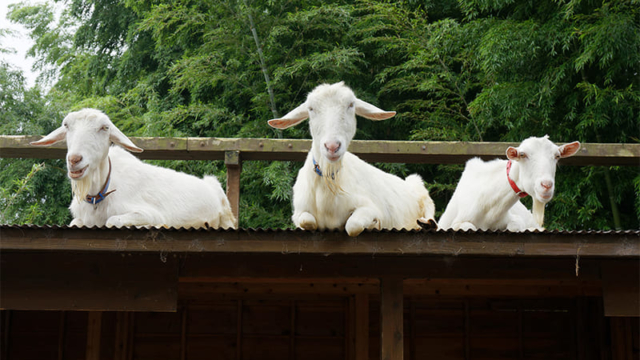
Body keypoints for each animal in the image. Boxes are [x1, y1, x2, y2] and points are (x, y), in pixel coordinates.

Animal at [30, 108, 235, 229]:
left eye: (104, 128)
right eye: (66, 125)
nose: (74, 159)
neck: (100, 194)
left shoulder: (152, 214)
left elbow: (112, 220)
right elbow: (74, 223)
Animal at [264, 81, 436, 236]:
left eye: (351, 105)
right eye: (310, 108)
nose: (332, 146)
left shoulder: (370, 206)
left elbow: (353, 226)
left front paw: (373, 223)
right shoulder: (299, 211)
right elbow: (308, 221)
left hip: (420, 189)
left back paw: (428, 224)